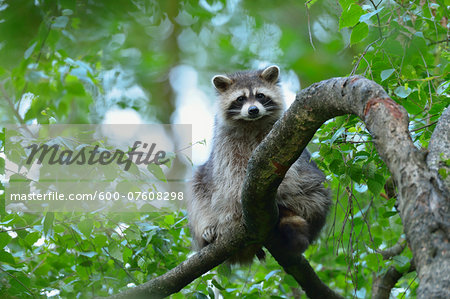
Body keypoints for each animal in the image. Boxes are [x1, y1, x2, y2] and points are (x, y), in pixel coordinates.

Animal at [186, 66, 330, 264]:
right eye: (240, 99)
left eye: (260, 96)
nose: (253, 110)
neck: (251, 123)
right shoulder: (226, 146)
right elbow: (231, 175)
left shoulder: (282, 137)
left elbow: (288, 172)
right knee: (198, 187)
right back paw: (210, 229)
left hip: (312, 196)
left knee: (315, 188)